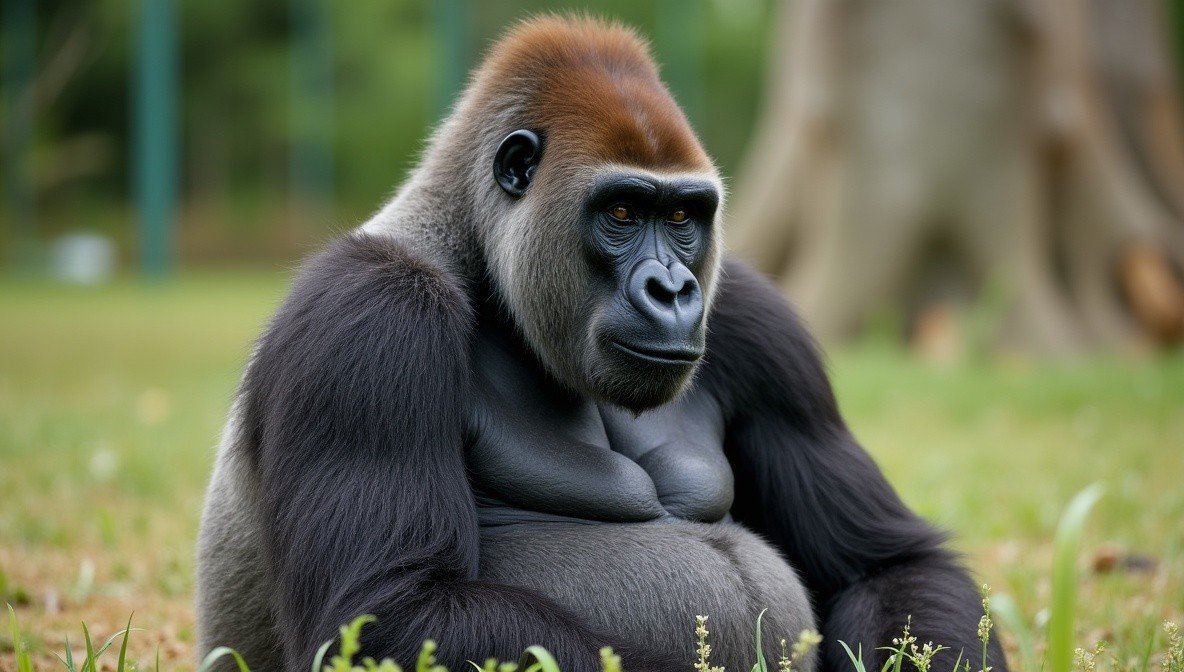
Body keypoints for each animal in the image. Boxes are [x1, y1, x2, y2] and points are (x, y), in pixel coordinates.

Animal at [196, 16, 1007, 672]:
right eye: (621, 212)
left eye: (682, 218)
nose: (674, 290)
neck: (474, 257)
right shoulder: (369, 316)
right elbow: (390, 616)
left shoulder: (755, 318)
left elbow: (888, 564)